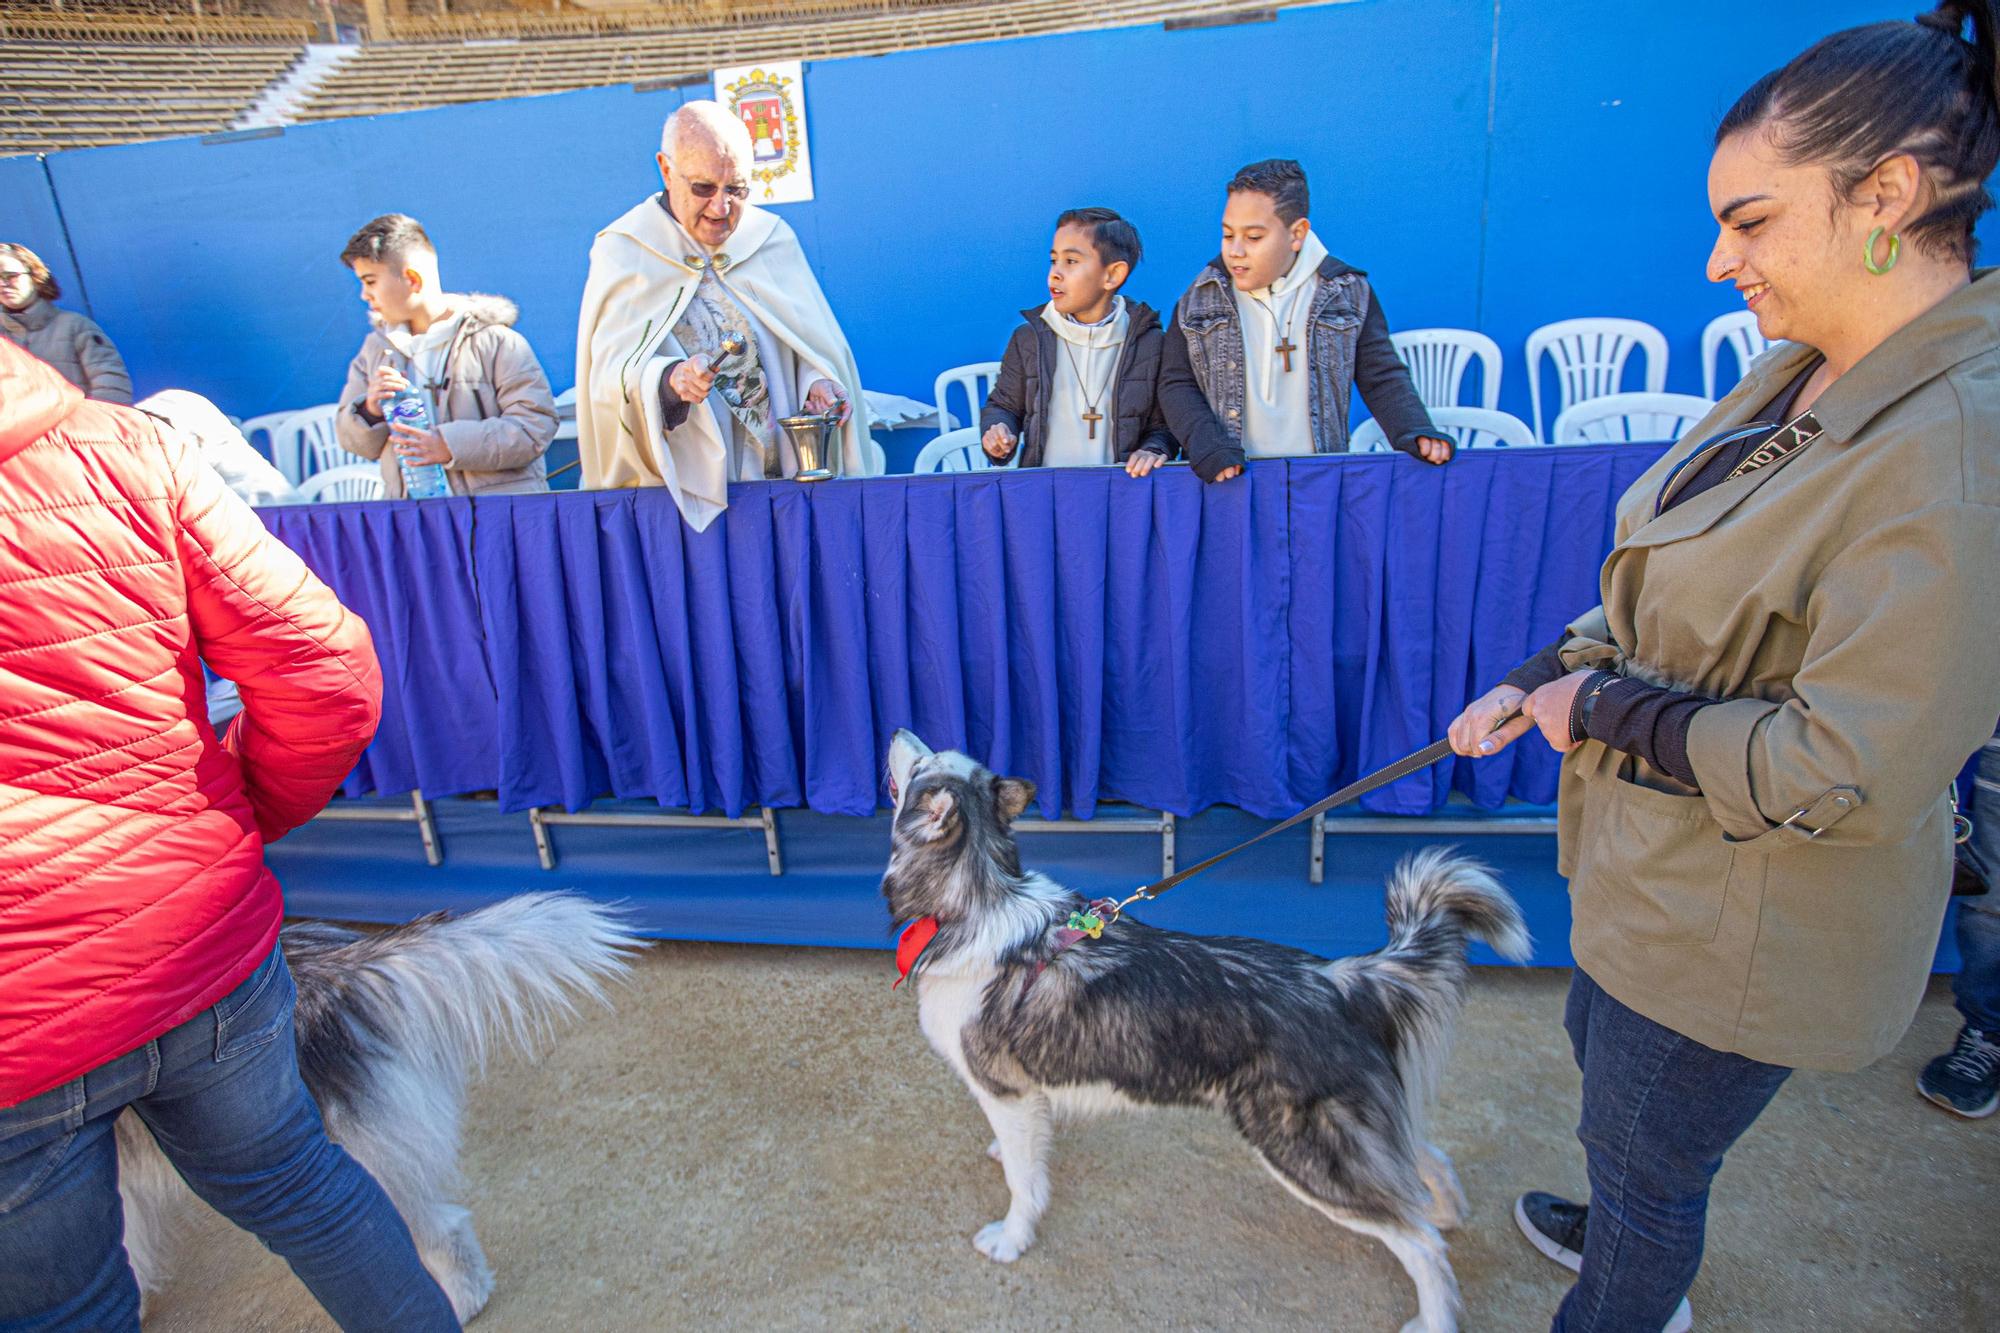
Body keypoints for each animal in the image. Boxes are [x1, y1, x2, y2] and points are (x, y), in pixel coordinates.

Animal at [884, 732, 1520, 1320]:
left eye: (919, 765)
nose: (896, 732)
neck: (976, 903)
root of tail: (1339, 978)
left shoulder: (1005, 1091)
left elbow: (1024, 1182)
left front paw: (1012, 1239)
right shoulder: (1023, 1099)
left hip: (1303, 1152)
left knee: (1421, 1243)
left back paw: (1435, 1312)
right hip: (1352, 1132)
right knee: (1419, 1158)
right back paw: (1445, 1206)